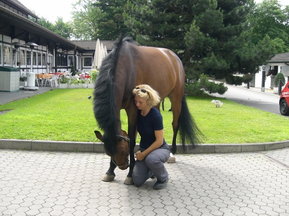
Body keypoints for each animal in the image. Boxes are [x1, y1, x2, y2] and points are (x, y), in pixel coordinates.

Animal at [93, 36, 200, 184]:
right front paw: (110, 171)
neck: (126, 68)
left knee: (175, 124)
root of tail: (175, 57)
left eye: (123, 150)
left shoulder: (133, 109)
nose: (123, 166)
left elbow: (132, 140)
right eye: (109, 153)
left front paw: (130, 174)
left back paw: (172, 152)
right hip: (157, 101)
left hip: (176, 98)